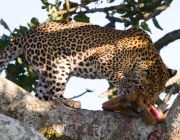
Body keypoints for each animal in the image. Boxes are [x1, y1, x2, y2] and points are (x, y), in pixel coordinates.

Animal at [0, 20, 177, 110]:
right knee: (55, 96)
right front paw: (128, 86)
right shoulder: (102, 60)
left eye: (160, 92)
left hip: (46, 72)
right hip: (59, 64)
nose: (150, 103)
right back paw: (69, 102)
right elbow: (117, 76)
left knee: (43, 96)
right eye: (151, 91)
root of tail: (27, 33)